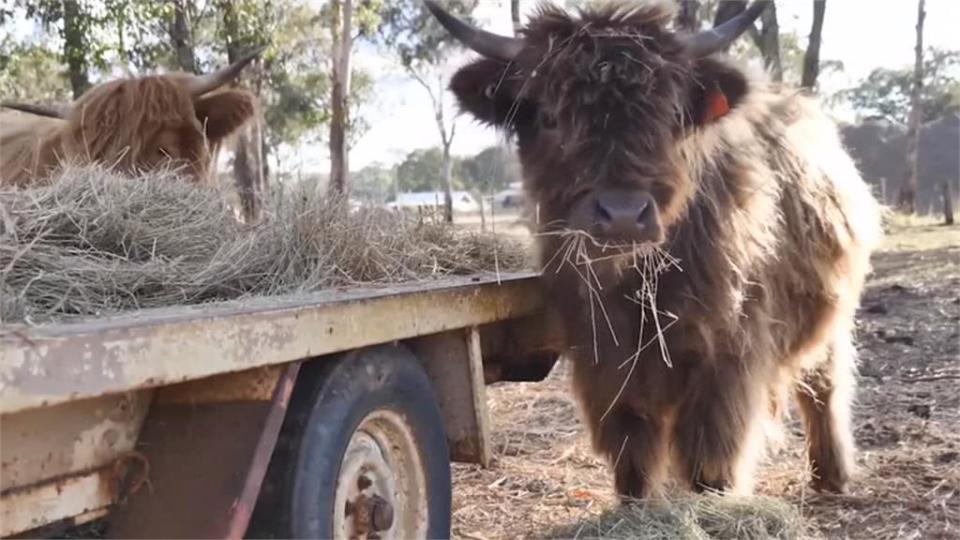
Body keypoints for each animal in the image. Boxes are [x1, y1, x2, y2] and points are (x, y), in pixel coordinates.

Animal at [430, 0, 884, 498]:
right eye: (550, 117)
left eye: (669, 116)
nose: (623, 214)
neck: (637, 286)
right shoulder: (603, 359)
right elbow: (633, 450)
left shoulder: (726, 356)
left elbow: (710, 459)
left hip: (830, 312)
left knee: (824, 381)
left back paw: (831, 475)